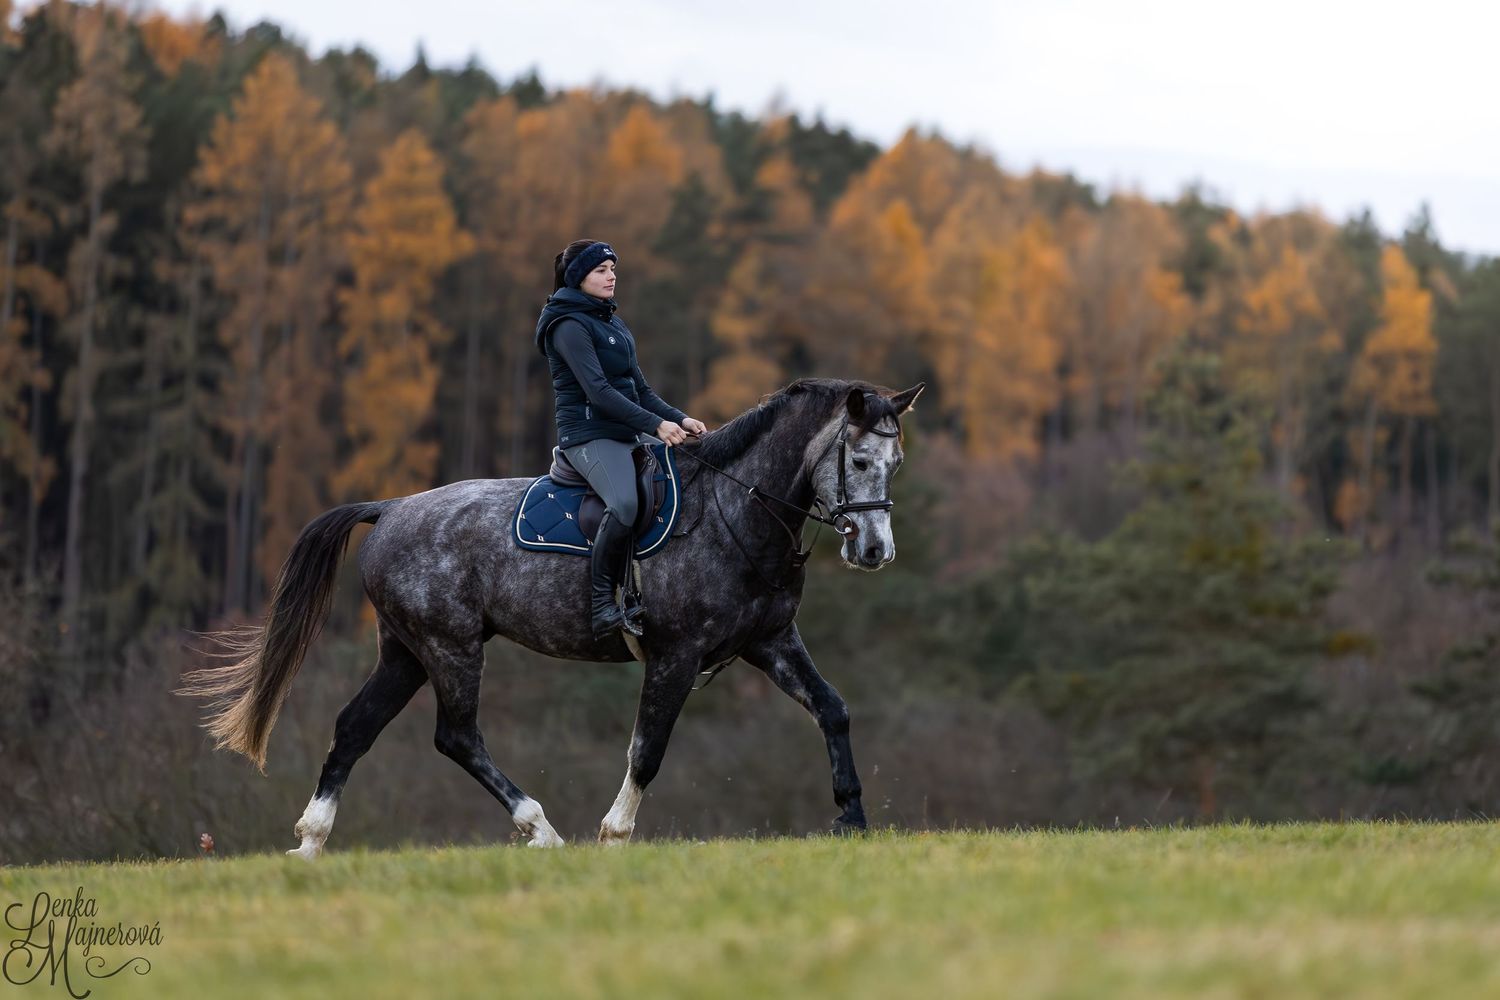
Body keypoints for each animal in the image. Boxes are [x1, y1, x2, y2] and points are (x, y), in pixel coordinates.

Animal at [179, 377, 924, 853]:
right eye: (860, 459)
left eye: (896, 462)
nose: (876, 551)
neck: (735, 513)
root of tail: (390, 509)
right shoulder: (676, 656)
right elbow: (648, 749)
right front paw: (614, 835)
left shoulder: (769, 641)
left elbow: (832, 709)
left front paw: (852, 818)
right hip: (450, 649)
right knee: (457, 737)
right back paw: (541, 829)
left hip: (406, 652)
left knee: (355, 727)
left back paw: (310, 844)